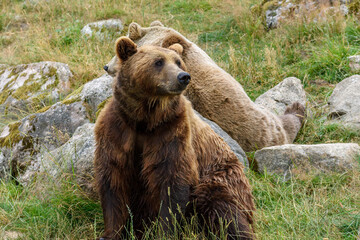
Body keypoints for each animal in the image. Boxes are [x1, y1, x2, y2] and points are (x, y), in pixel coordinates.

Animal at [94, 36, 255, 239]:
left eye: (178, 62)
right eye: (158, 62)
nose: (183, 76)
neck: (145, 119)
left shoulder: (171, 132)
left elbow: (172, 183)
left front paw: (165, 232)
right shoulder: (117, 131)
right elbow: (112, 181)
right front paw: (110, 233)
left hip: (222, 177)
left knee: (222, 206)